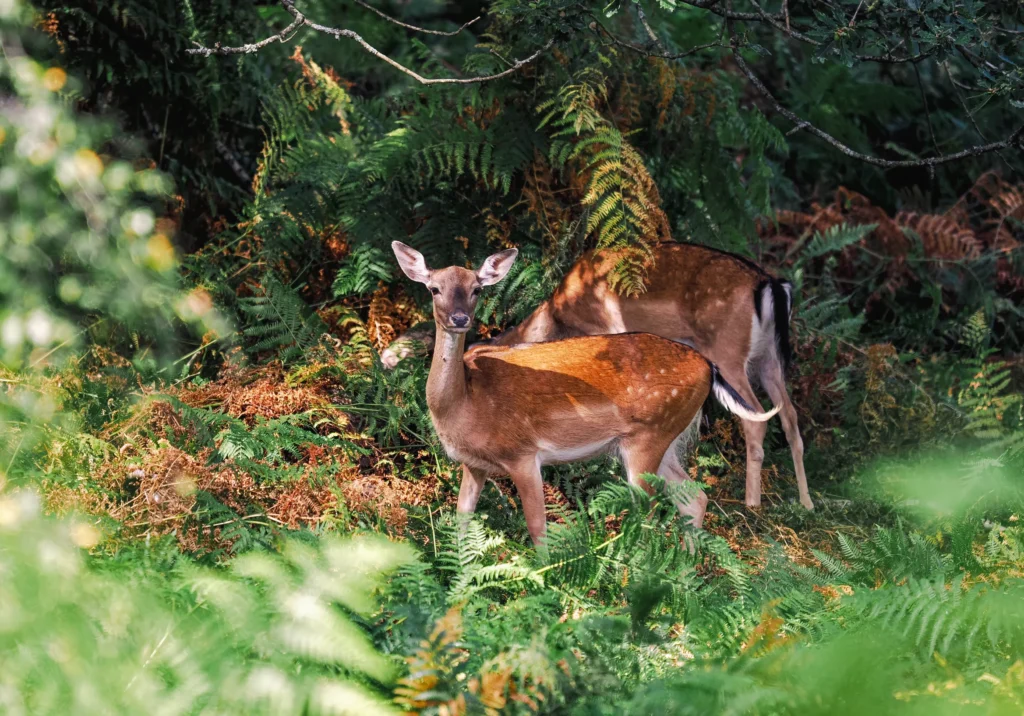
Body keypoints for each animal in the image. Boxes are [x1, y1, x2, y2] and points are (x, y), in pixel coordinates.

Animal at [391, 241, 780, 547]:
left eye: (476, 289)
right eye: (434, 289)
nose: (459, 319)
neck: (466, 406)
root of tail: (708, 366)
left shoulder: (523, 454)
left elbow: (538, 528)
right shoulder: (473, 465)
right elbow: (461, 523)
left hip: (650, 436)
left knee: (651, 513)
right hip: (664, 438)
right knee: (694, 498)